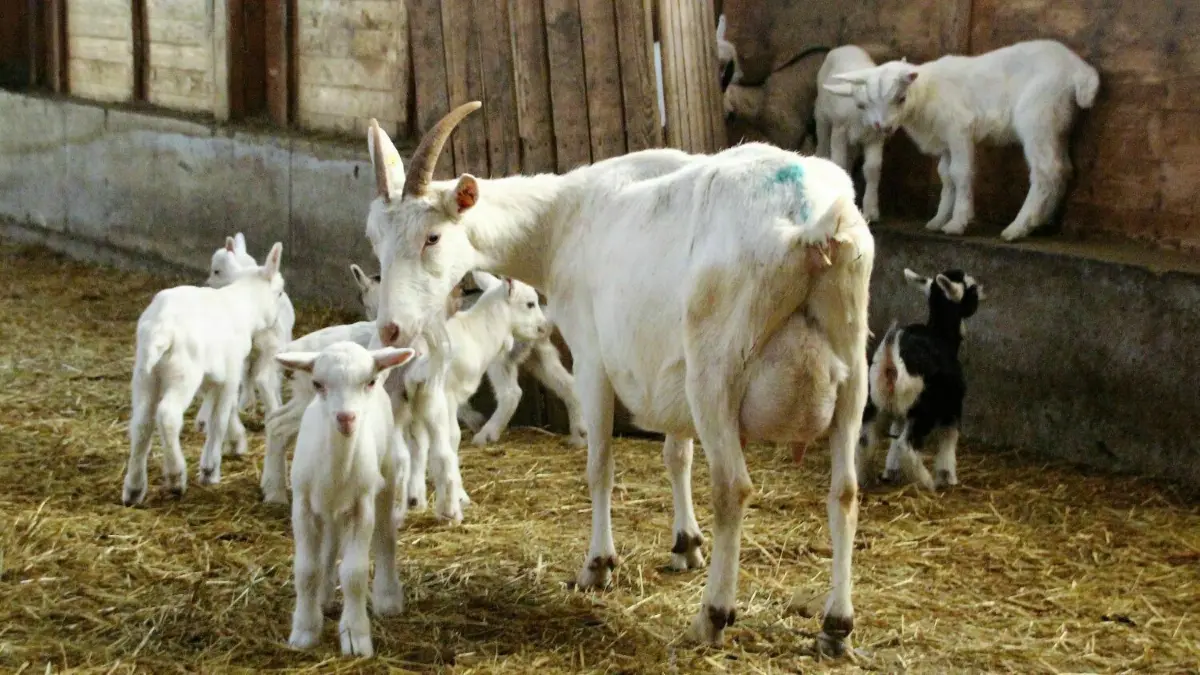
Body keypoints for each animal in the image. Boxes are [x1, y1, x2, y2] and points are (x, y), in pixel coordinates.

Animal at [122, 243, 286, 506]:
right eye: (279, 293)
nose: (276, 322)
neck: (243, 305)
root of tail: (161, 329)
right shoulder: (231, 373)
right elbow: (219, 418)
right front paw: (210, 469)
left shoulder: (213, 376)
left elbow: (220, 410)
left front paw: (235, 440)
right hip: (183, 373)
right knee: (167, 416)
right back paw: (176, 476)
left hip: (144, 375)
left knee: (141, 423)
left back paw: (134, 488)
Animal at [277, 342, 415, 658]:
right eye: (318, 384)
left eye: (369, 382)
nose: (346, 418)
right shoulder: (303, 505)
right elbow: (306, 570)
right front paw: (304, 631)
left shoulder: (361, 505)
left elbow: (354, 573)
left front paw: (355, 636)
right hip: (327, 509)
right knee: (329, 544)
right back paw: (324, 595)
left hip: (387, 473)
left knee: (386, 535)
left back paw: (388, 596)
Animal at [351, 263, 588, 448]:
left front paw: (473, 421)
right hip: (539, 353)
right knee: (567, 384)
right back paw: (579, 435)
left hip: (500, 359)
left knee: (511, 393)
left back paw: (487, 434)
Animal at [826, 39, 1100, 241]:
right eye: (866, 103)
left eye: (901, 98)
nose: (883, 127)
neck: (926, 94)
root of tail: (1080, 72)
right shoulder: (946, 139)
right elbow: (946, 175)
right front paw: (938, 220)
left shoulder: (959, 129)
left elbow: (961, 173)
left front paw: (957, 222)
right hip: (1057, 125)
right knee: (1063, 168)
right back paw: (1042, 222)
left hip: (1037, 116)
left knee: (1046, 171)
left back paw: (1018, 227)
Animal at [858, 268, 984, 491]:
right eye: (972, 289)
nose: (983, 290)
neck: (941, 334)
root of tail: (891, 356)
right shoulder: (952, 406)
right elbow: (949, 437)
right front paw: (948, 476)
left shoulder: (901, 413)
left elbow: (895, 433)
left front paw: (891, 470)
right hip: (924, 408)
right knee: (907, 445)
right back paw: (927, 481)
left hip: (875, 402)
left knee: (866, 441)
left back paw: (862, 478)